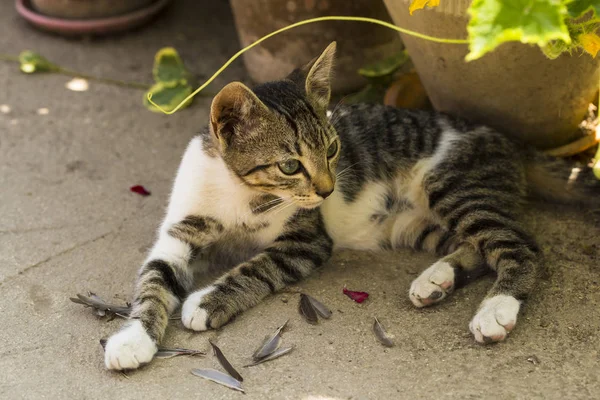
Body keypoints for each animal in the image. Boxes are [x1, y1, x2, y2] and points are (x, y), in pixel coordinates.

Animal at [103, 42, 596, 370]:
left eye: (334, 149)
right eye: (289, 165)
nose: (325, 190)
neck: (243, 193)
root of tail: (509, 139)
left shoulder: (306, 240)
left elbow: (257, 266)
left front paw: (208, 300)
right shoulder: (180, 230)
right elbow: (153, 280)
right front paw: (133, 338)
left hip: (454, 185)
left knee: (519, 243)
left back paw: (496, 309)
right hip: (413, 222)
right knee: (474, 245)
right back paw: (436, 280)